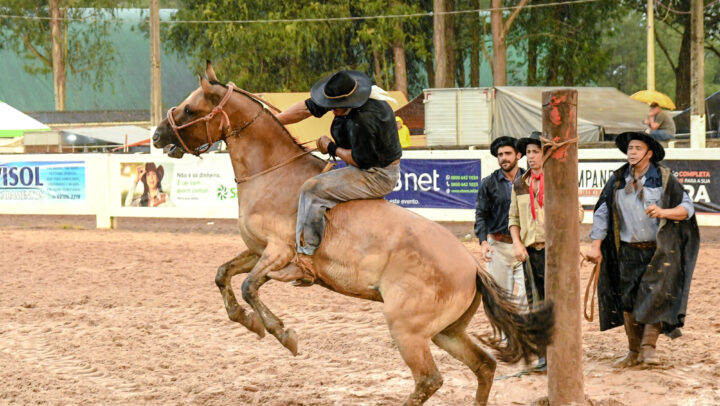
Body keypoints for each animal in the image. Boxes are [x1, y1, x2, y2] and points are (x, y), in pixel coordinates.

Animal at [152, 61, 556, 404]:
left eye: (189, 110)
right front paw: (247, 321)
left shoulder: (277, 252)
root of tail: (473, 268)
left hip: (408, 330)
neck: (273, 173)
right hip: (447, 332)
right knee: (484, 366)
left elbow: (251, 286)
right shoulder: (255, 250)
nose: (157, 134)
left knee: (429, 379)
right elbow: (223, 275)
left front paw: (281, 333)